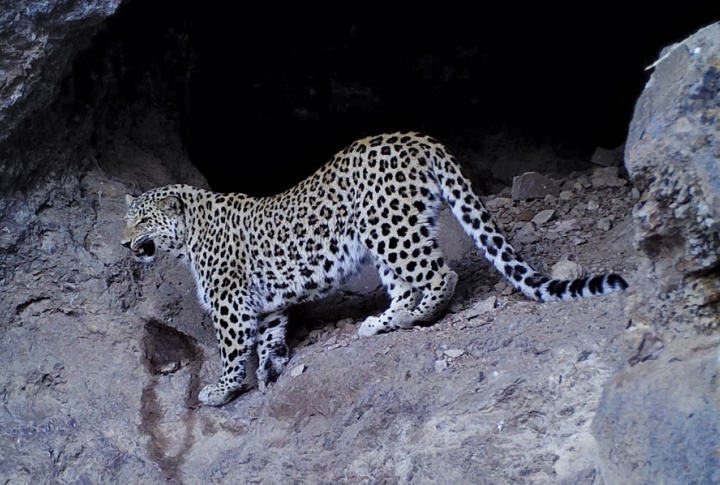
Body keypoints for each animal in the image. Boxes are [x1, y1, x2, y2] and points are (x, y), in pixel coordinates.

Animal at [121, 132, 628, 406]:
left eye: (142, 221)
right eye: (126, 220)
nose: (126, 243)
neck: (187, 238)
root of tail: (418, 138)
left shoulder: (230, 304)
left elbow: (231, 351)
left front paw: (221, 390)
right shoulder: (264, 305)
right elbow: (270, 337)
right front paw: (270, 371)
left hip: (387, 227)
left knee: (440, 274)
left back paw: (413, 317)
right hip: (392, 235)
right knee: (407, 283)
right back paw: (381, 321)